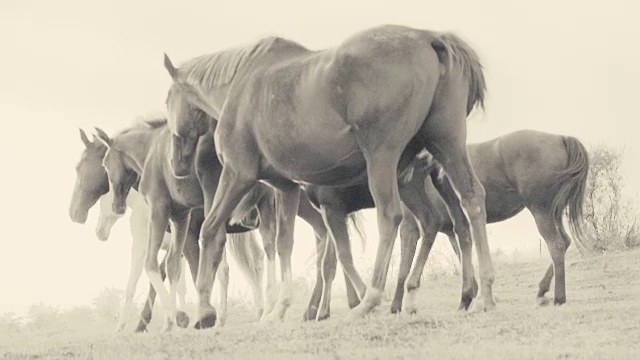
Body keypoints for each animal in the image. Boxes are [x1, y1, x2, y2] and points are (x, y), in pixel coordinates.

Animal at [162, 23, 492, 326]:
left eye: (168, 100)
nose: (176, 165)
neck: (240, 87)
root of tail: (428, 37)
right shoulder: (285, 187)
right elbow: (285, 244)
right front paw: (280, 308)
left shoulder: (237, 175)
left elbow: (210, 231)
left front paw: (204, 311)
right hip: (446, 145)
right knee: (470, 200)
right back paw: (482, 295)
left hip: (382, 157)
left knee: (391, 216)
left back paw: (371, 299)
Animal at [396, 130, 592, 316]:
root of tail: (561, 138)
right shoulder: (455, 224)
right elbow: (463, 250)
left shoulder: (416, 227)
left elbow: (405, 266)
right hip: (554, 213)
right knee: (564, 241)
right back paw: (542, 290)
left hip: (541, 212)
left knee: (556, 245)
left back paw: (559, 297)